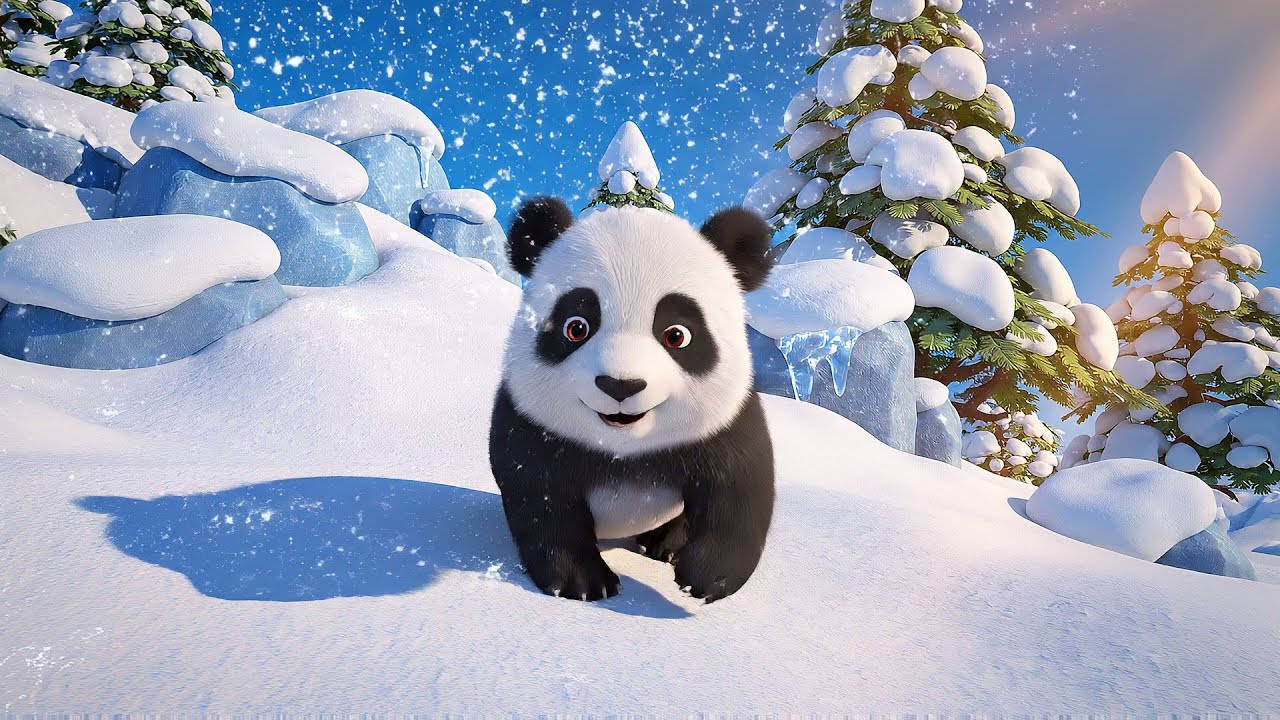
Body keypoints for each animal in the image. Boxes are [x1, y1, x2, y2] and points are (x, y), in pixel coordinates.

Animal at [489, 197, 776, 604]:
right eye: (576, 327)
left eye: (676, 335)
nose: (620, 385)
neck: (624, 449)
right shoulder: (530, 421)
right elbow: (541, 496)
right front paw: (582, 582)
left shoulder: (726, 419)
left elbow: (740, 489)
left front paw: (706, 579)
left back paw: (664, 546)